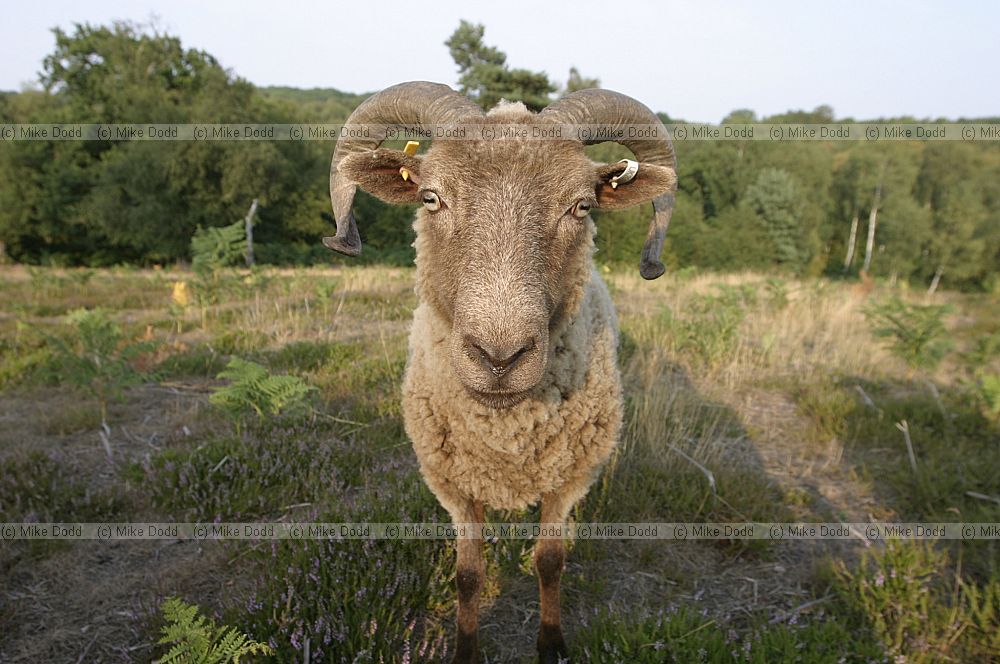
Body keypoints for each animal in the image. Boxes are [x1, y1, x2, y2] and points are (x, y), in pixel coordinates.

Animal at [323, 81, 678, 663]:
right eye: (431, 198)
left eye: (581, 206)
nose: (499, 357)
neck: (506, 432)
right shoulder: (451, 482)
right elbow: (468, 574)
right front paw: (466, 648)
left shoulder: (570, 477)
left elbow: (550, 562)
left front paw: (551, 644)